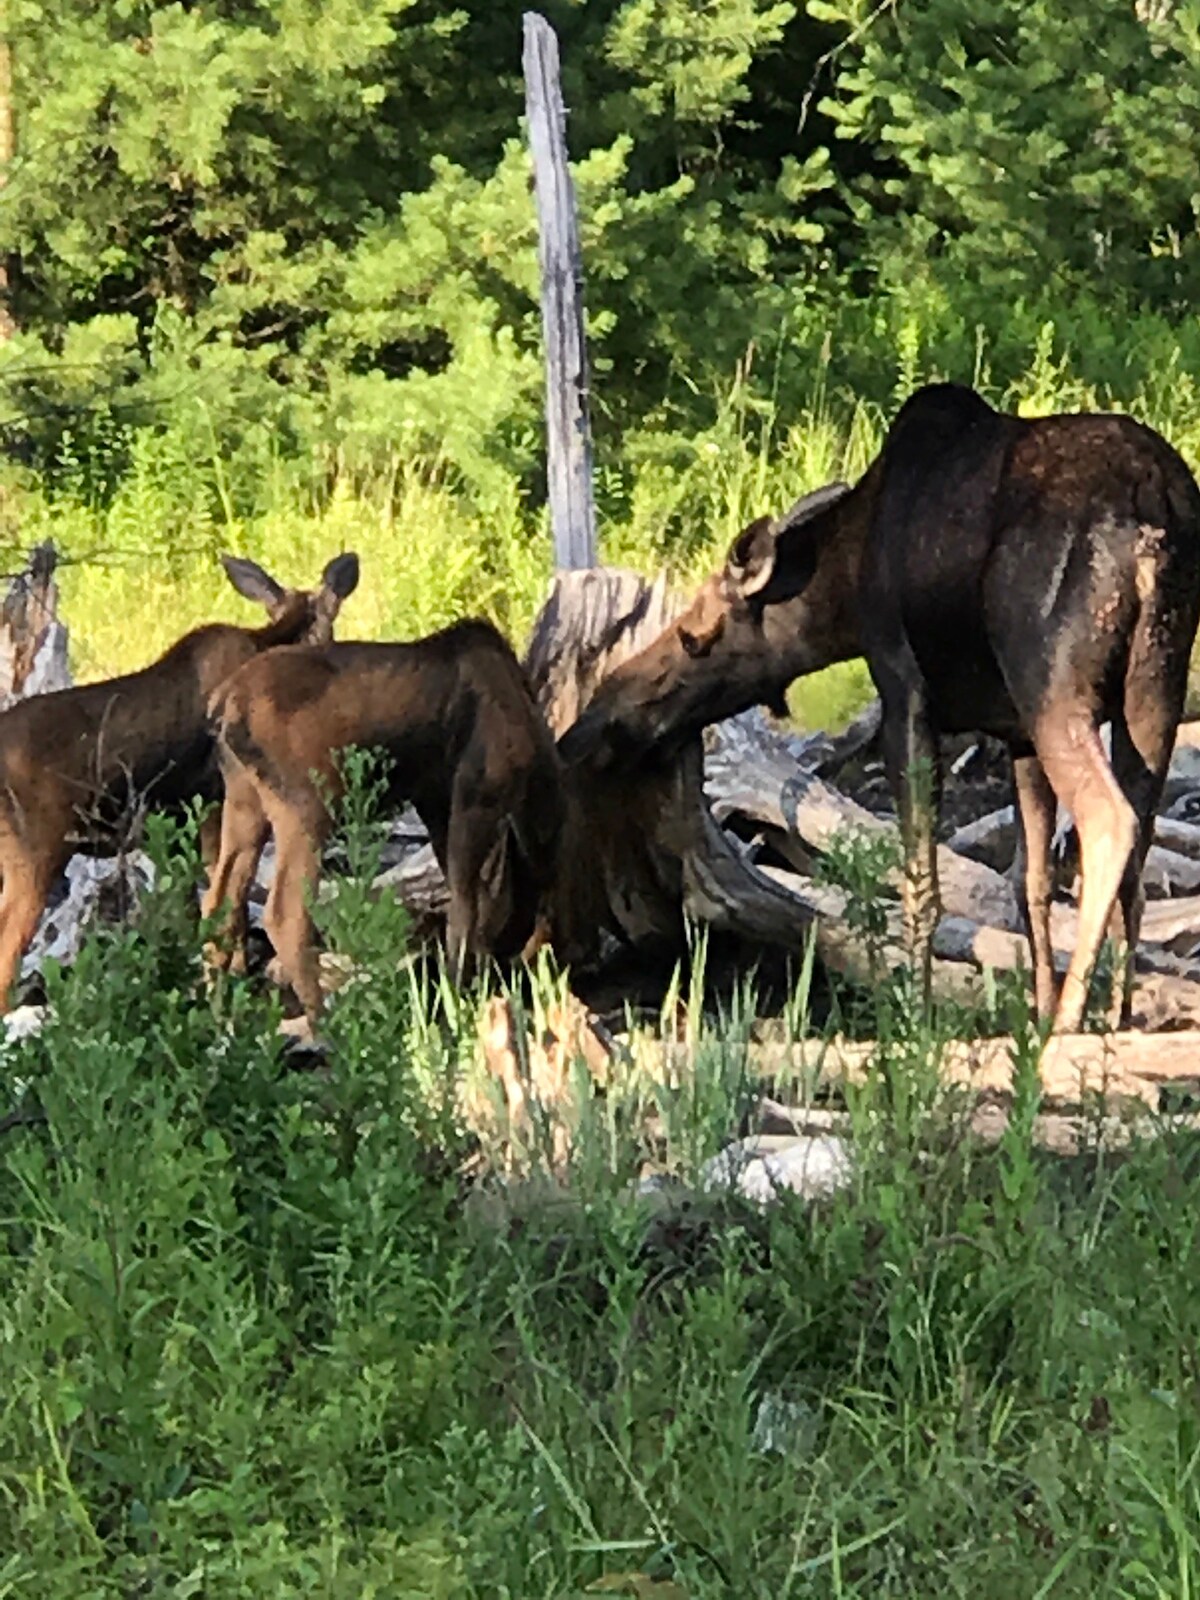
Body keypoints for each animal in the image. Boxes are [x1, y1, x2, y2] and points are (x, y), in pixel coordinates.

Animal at [203, 617, 569, 1017]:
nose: (532, 966)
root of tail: (223, 709)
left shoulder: (435, 802)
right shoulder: (477, 795)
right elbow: (468, 904)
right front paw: (459, 994)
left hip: (244, 799)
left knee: (220, 901)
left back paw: (218, 1008)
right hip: (307, 805)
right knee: (285, 914)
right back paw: (324, 1017)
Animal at [563, 387, 1200, 1036]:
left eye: (696, 638)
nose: (593, 723)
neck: (843, 585)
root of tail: (1152, 519)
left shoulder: (904, 688)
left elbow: (921, 877)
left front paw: (916, 1011)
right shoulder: (1014, 730)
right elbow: (1031, 882)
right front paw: (1035, 1011)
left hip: (1056, 688)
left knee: (1110, 821)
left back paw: (1075, 1014)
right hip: (1154, 687)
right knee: (1138, 840)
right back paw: (1117, 1008)